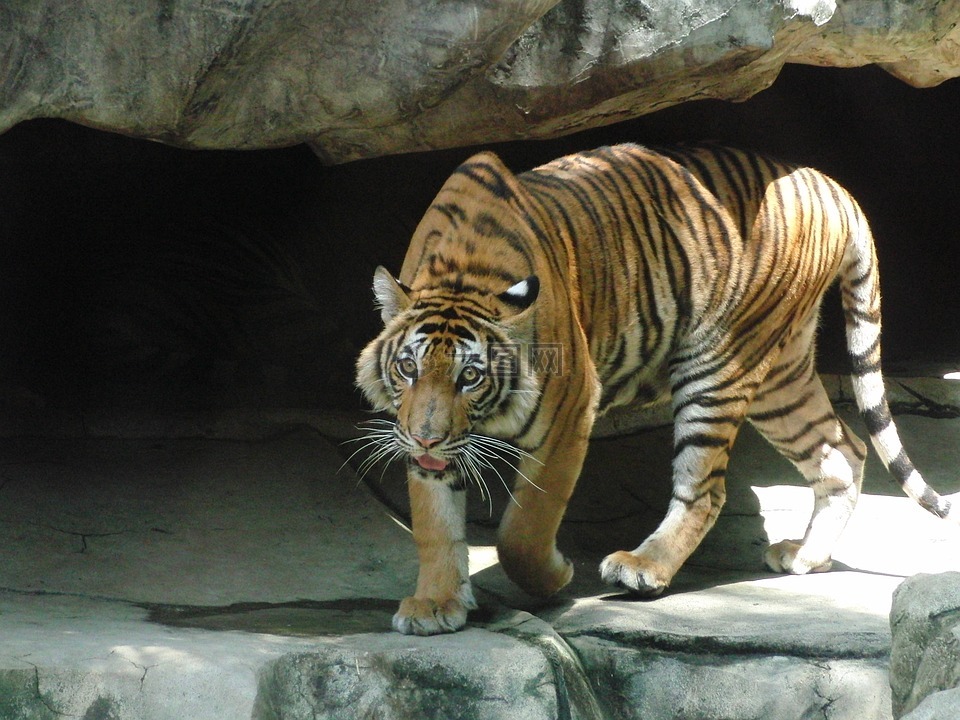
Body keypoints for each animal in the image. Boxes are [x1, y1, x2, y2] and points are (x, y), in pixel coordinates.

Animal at [355, 143, 959, 636]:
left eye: (471, 376)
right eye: (407, 369)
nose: (427, 438)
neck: (461, 273)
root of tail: (830, 186)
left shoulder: (570, 411)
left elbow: (523, 528)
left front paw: (555, 577)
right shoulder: (427, 442)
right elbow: (433, 523)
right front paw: (435, 604)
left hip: (719, 364)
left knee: (706, 489)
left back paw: (643, 567)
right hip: (781, 375)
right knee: (843, 450)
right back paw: (805, 557)